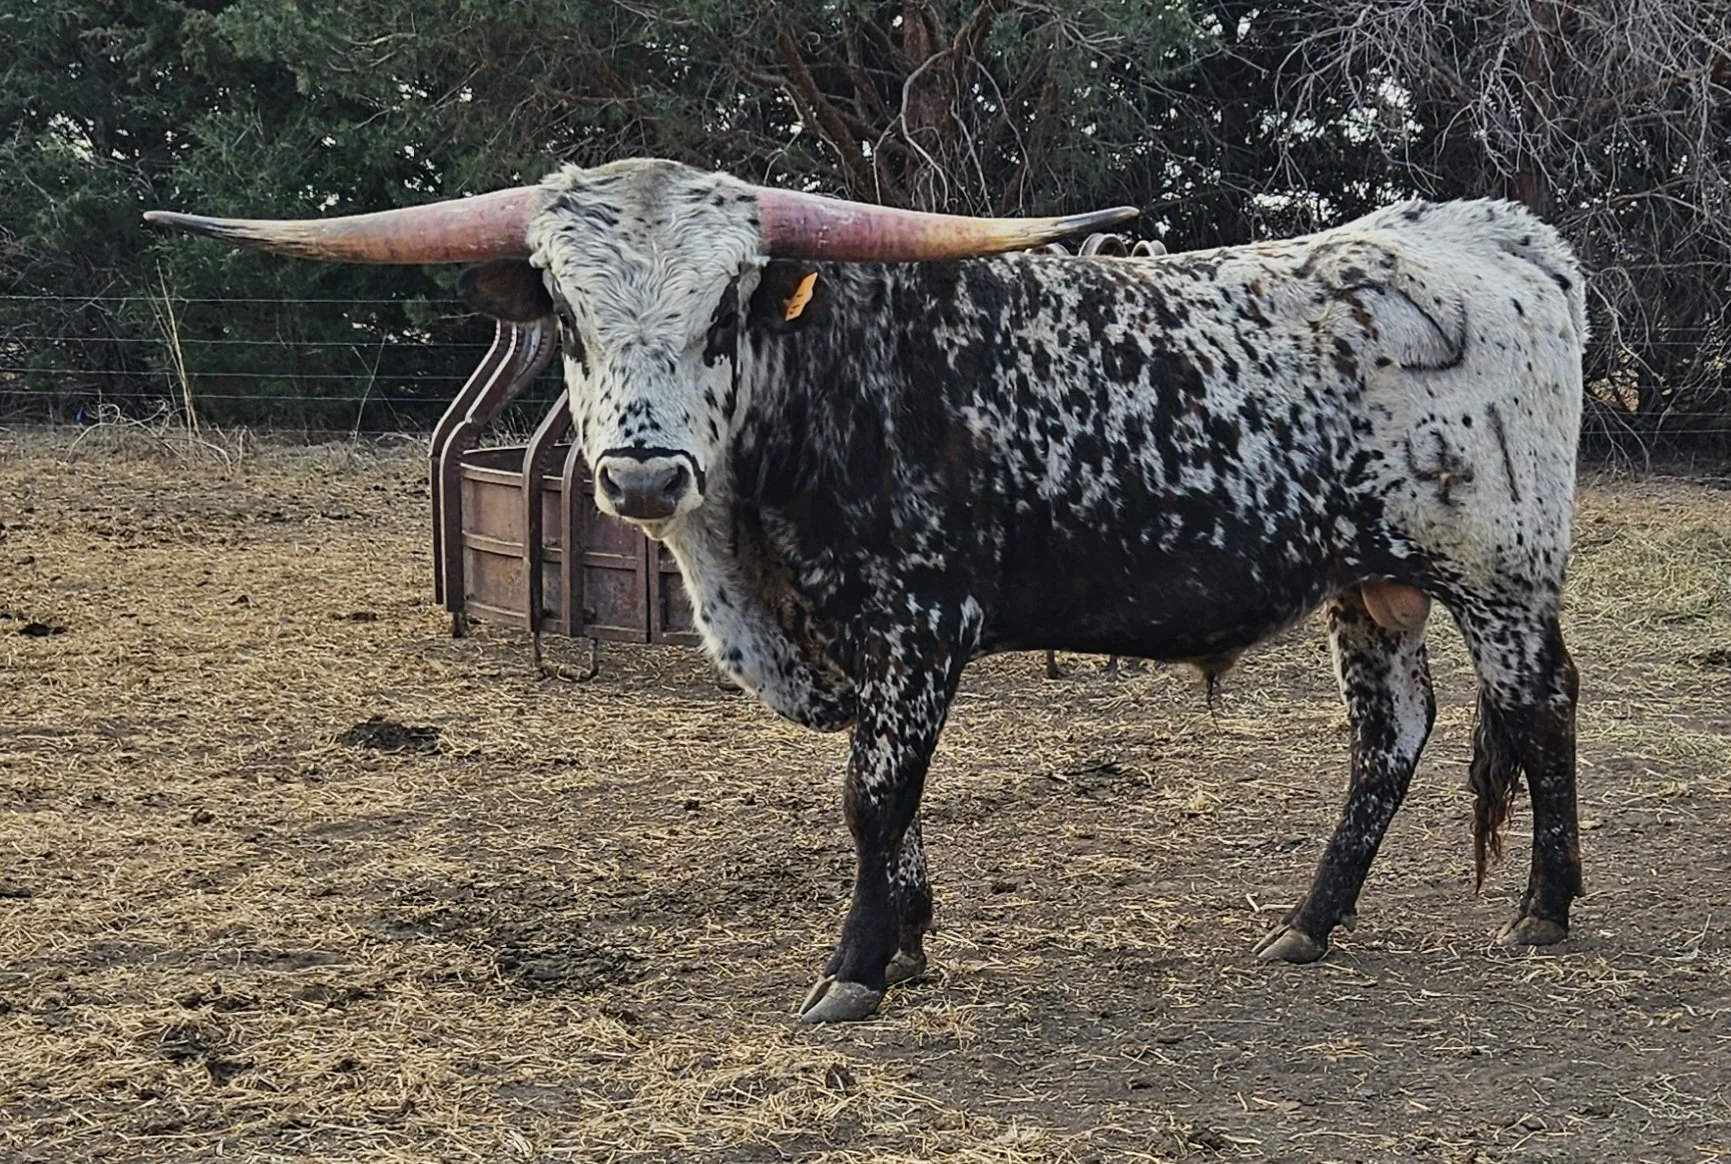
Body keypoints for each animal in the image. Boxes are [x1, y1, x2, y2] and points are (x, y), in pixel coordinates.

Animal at [147, 158, 1587, 1023]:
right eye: (562, 306)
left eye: (730, 302)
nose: (642, 467)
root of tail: (1490, 233)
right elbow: (892, 807)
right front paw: (908, 935)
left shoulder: (918, 631)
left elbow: (870, 798)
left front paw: (852, 971)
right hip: (1374, 583)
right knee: (1389, 738)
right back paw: (1307, 922)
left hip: (1499, 573)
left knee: (1543, 710)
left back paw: (1543, 910)